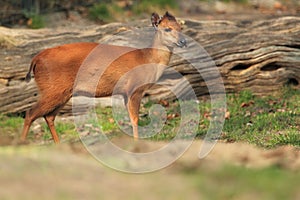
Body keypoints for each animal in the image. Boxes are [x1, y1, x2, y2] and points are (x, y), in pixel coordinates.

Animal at [21, 11, 185, 143]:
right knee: (30, 113)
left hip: (62, 92)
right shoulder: (135, 89)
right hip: (53, 88)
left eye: (180, 28)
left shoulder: (125, 92)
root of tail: (35, 60)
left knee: (48, 116)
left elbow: (130, 118)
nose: (183, 41)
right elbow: (135, 119)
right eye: (167, 29)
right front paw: (137, 143)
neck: (147, 60)